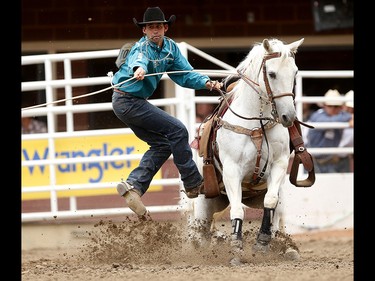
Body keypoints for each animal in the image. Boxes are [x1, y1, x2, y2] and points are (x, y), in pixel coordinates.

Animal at [182, 37, 306, 264]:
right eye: (272, 74)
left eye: (294, 72)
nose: (289, 116)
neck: (256, 122)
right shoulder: (232, 171)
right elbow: (237, 208)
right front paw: (236, 249)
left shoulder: (279, 164)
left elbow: (270, 202)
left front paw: (262, 242)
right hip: (205, 204)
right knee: (200, 235)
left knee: (277, 218)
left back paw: (287, 249)